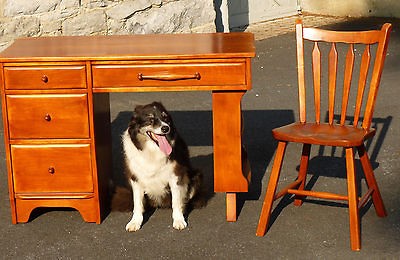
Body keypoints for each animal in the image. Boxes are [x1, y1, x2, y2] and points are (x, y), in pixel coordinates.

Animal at [121, 101, 203, 232]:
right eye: (150, 119)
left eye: (165, 118)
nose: (165, 128)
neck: (152, 151)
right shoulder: (135, 178)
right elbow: (137, 203)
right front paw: (135, 222)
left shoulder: (175, 176)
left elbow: (176, 201)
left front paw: (179, 220)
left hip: (196, 175)